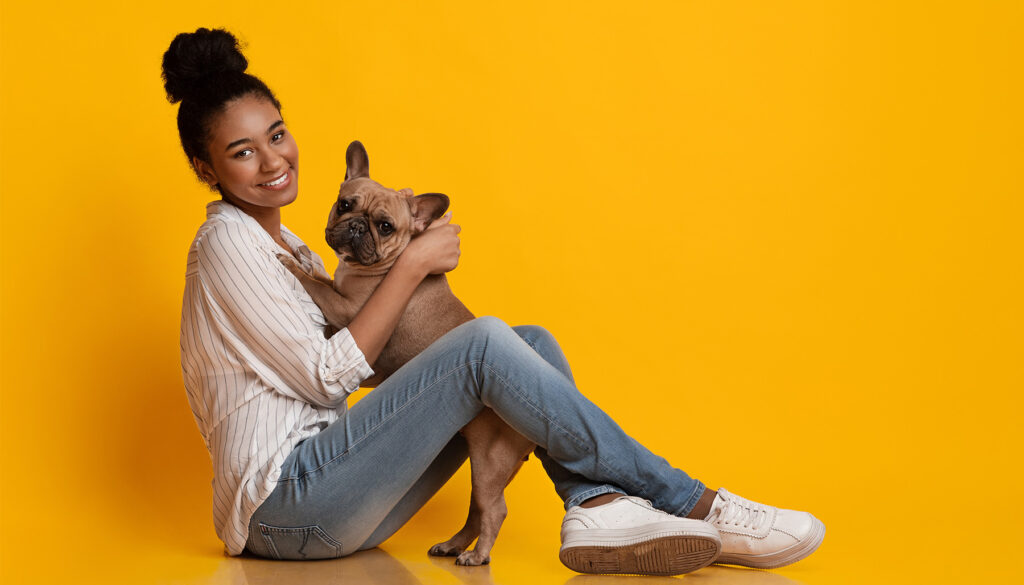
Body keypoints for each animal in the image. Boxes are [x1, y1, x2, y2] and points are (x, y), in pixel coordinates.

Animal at [280, 139, 536, 565]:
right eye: (345, 204)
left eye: (385, 226)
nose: (356, 225)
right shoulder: (340, 309)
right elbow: (322, 282)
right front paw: (299, 253)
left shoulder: (347, 311)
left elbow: (315, 284)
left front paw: (290, 262)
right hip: (485, 461)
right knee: (478, 509)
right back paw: (453, 545)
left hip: (491, 457)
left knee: (494, 509)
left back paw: (477, 557)